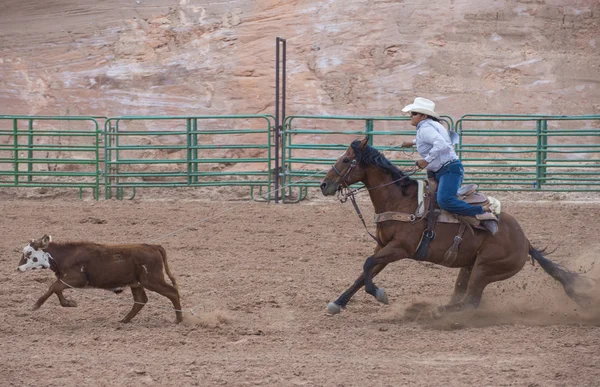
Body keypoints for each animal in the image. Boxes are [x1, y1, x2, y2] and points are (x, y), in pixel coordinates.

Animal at [18, 236, 183, 324]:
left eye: (29, 253)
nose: (18, 268)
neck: (66, 256)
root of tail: (153, 247)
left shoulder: (77, 279)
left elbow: (54, 287)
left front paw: (37, 305)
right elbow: (57, 288)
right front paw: (69, 303)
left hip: (152, 280)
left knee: (172, 292)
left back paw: (179, 319)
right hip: (136, 283)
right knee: (140, 300)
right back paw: (124, 320)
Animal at [322, 138, 588, 316]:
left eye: (346, 159)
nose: (324, 185)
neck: (400, 201)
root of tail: (525, 242)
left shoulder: (400, 249)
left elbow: (367, 265)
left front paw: (379, 294)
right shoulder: (384, 247)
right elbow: (364, 272)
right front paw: (338, 303)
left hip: (485, 269)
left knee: (471, 300)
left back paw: (435, 312)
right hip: (470, 267)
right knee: (463, 295)